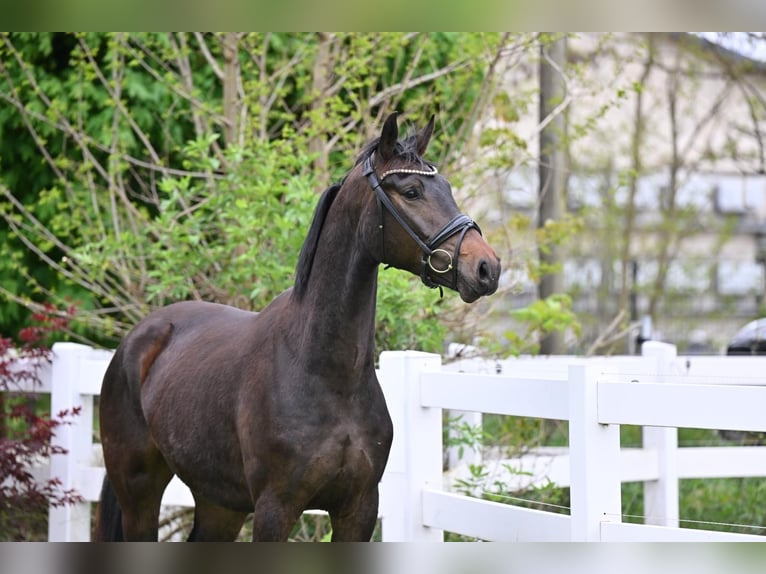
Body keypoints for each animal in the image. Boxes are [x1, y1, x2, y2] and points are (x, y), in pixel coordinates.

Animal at [95, 113, 501, 541]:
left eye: (447, 188)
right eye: (411, 191)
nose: (486, 268)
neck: (324, 372)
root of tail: (135, 341)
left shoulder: (358, 510)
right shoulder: (276, 509)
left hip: (220, 502)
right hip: (139, 494)